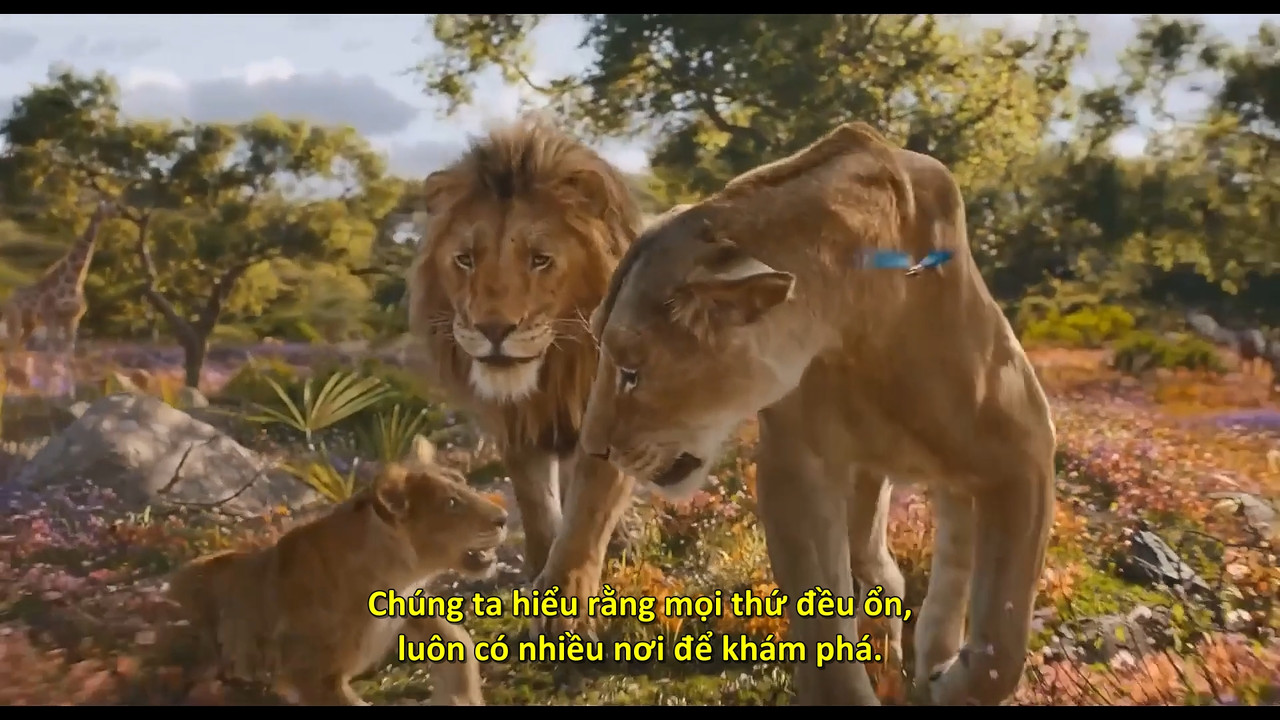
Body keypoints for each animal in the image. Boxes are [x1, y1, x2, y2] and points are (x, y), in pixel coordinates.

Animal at [165, 436, 508, 706]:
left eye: (465, 484)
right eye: (452, 504)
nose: (504, 518)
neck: (397, 579)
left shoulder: (411, 607)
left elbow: (458, 641)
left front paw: (463, 697)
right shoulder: (311, 674)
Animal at [404, 115, 641, 612]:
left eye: (540, 259)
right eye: (465, 259)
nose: (493, 329)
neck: (557, 369)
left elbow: (589, 510)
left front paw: (568, 597)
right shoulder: (517, 424)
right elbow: (535, 505)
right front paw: (539, 577)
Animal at [576, 123, 1057, 706]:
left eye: (631, 371)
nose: (593, 447)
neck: (855, 327)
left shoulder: (1025, 451)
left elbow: (1001, 640)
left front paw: (951, 682)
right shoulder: (798, 471)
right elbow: (823, 624)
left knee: (956, 541)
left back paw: (933, 656)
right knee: (881, 566)